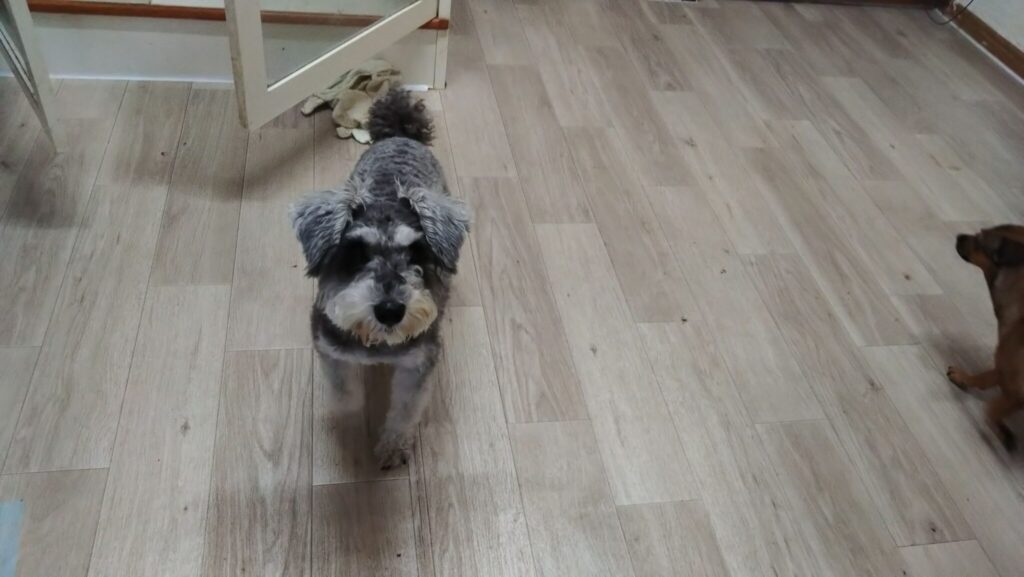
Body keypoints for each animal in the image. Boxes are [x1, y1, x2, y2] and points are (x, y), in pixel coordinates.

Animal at [290, 89, 470, 469]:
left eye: (417, 254)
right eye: (355, 253)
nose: (390, 310)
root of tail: (400, 134)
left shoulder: (417, 365)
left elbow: (405, 409)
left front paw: (394, 446)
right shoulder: (332, 353)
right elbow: (345, 395)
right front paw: (349, 431)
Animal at [947, 225, 1024, 451]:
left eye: (980, 241)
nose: (959, 236)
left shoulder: (1017, 391)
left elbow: (991, 409)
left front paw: (1004, 434)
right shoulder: (1005, 366)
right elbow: (984, 377)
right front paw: (963, 377)